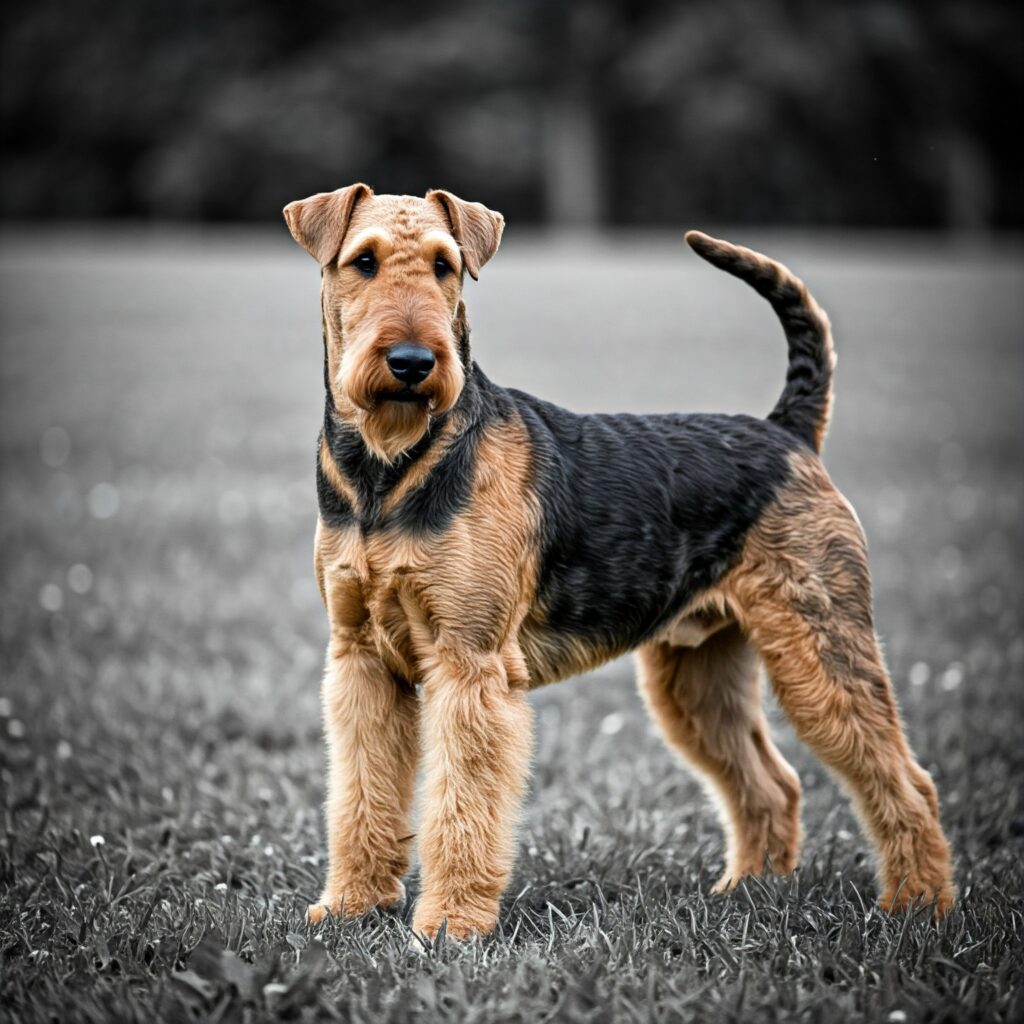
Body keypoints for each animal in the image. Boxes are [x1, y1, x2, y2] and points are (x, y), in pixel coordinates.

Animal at [282, 188, 958, 937]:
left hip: (820, 648)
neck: (388, 471)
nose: (411, 363)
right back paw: (749, 889)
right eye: (363, 262)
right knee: (772, 782)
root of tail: (788, 432)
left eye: (444, 265)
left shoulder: (472, 663)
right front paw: (349, 906)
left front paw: (451, 926)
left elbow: (463, 805)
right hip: (698, 674)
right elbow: (361, 794)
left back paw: (919, 905)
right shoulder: (363, 660)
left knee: (905, 779)